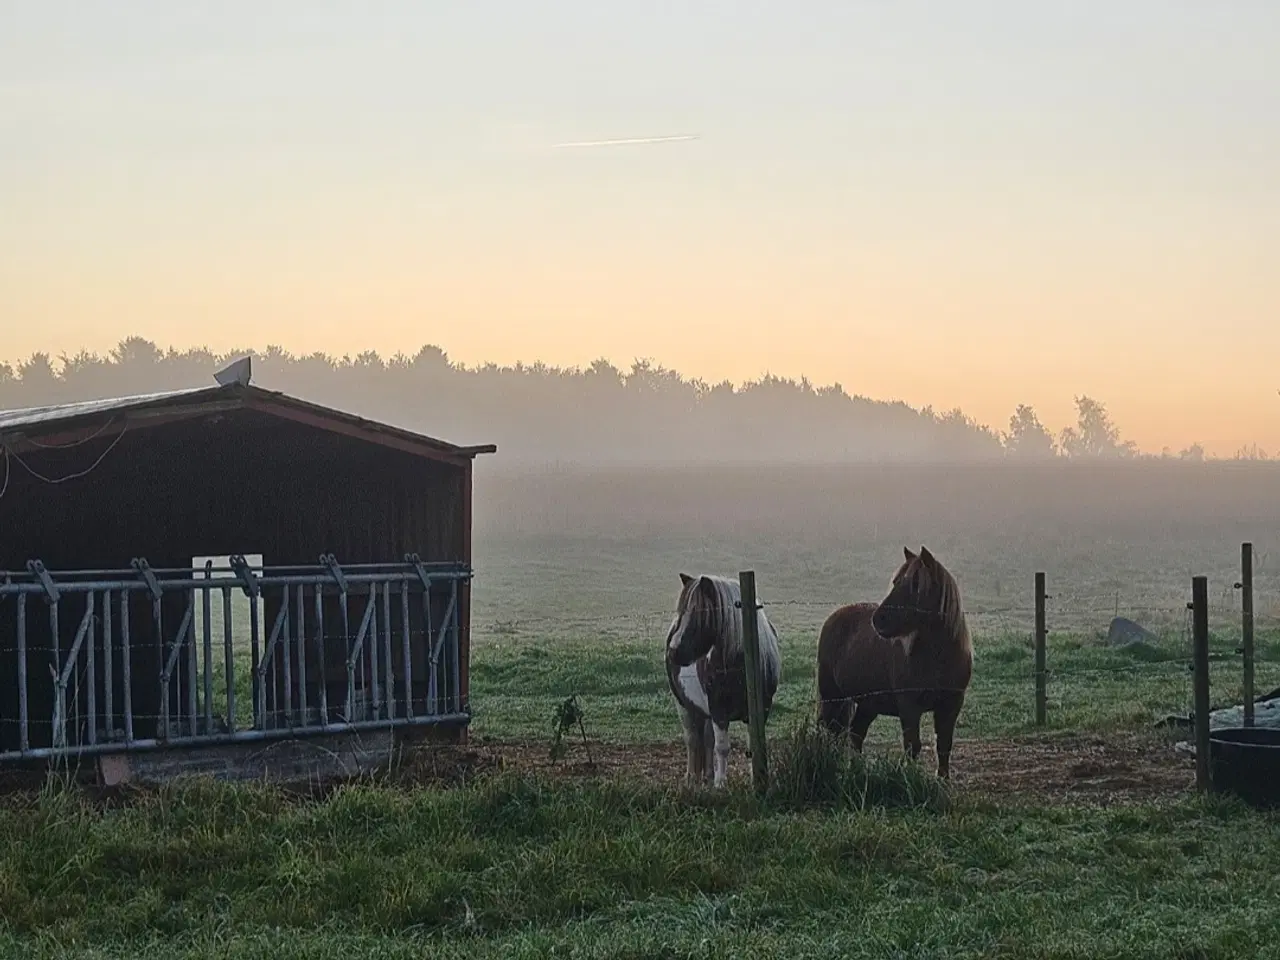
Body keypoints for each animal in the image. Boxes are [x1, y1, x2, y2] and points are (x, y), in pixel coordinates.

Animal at [665, 570, 783, 788]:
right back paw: (692, 779)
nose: (673, 651)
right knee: (692, 740)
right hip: (683, 705)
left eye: (699, 612)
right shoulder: (719, 711)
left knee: (706, 740)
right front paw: (721, 784)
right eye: (682, 612)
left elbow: (754, 747)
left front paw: (757, 780)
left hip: (705, 711)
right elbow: (722, 747)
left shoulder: (761, 710)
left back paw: (708, 775)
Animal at [819, 547, 967, 783]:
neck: (938, 659)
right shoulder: (909, 706)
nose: (878, 619)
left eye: (916, 584)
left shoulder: (951, 705)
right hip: (832, 697)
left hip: (868, 704)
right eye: (896, 581)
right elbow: (912, 746)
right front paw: (910, 778)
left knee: (855, 734)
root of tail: (835, 616)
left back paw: (856, 770)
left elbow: (944, 744)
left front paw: (943, 780)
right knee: (829, 731)